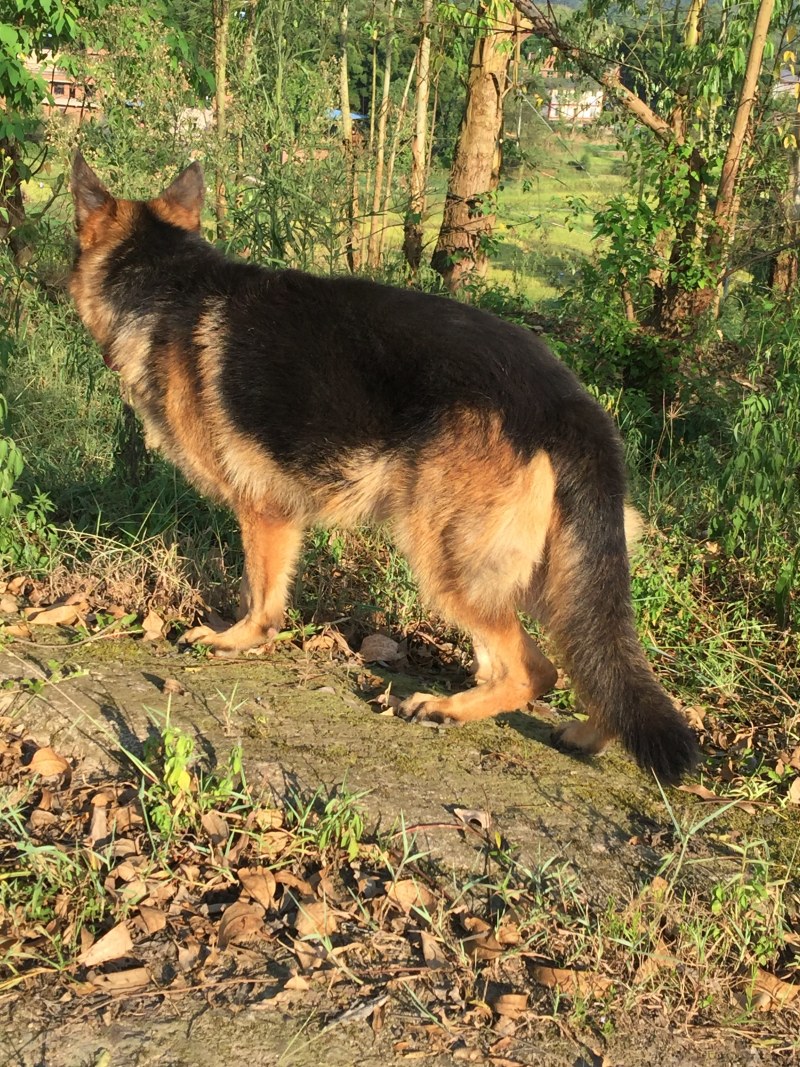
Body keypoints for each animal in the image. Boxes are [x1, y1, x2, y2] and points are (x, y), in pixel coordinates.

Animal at [72, 152, 699, 785]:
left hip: (446, 556)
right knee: (596, 662)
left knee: (534, 669)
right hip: (556, 572)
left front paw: (236, 639)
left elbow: (259, 594)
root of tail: (567, 402)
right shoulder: (282, 514)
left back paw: (447, 708)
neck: (169, 286)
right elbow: (266, 590)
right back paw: (588, 734)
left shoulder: (262, 508)